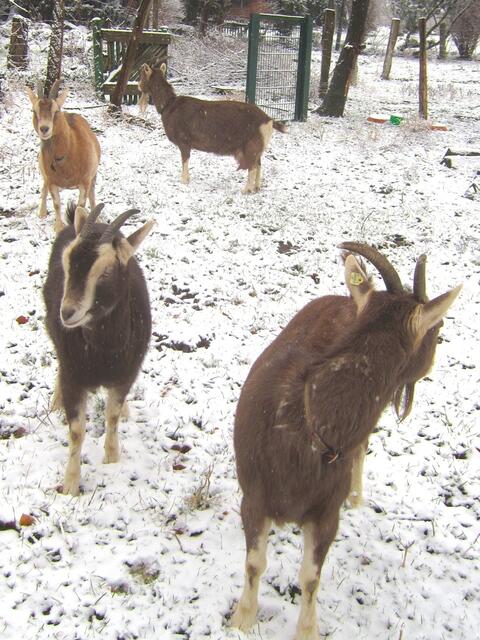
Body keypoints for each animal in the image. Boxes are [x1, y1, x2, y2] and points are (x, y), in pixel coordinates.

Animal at [27, 80, 101, 233]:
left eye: (56, 111)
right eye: (34, 111)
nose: (44, 129)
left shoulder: (85, 181)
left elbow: (81, 205)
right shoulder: (52, 181)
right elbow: (56, 203)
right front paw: (58, 227)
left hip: (93, 174)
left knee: (92, 194)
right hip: (44, 173)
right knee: (43, 187)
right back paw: (42, 213)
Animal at [43, 202, 154, 496]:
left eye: (105, 271)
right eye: (67, 261)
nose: (68, 313)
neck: (105, 350)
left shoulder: (126, 374)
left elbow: (112, 416)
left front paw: (112, 458)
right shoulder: (74, 377)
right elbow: (76, 431)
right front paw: (70, 484)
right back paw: (55, 400)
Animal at [138, 63, 287, 193]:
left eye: (142, 75)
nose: (138, 86)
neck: (169, 105)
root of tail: (268, 120)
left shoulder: (184, 141)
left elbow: (185, 160)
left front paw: (184, 181)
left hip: (251, 145)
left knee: (253, 166)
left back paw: (246, 190)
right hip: (258, 147)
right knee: (259, 164)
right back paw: (256, 187)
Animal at [231, 243, 461, 640]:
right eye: (439, 326)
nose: (430, 364)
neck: (307, 422)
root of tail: (343, 297)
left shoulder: (326, 513)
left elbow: (310, 577)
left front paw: (307, 630)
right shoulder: (255, 496)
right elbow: (255, 563)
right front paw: (242, 618)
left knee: (363, 449)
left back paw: (356, 494)